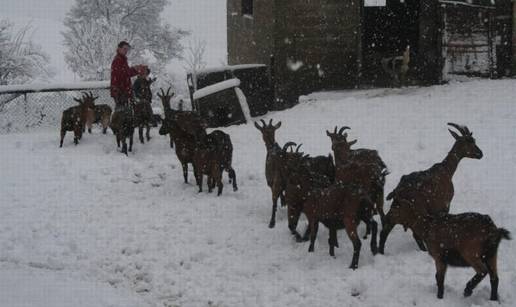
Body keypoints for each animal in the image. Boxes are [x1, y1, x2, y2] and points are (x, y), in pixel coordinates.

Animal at [378, 123, 484, 255]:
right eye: (469, 141)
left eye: (474, 140)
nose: (480, 154)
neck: (446, 170)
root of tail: (398, 191)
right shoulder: (444, 205)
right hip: (416, 210)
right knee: (416, 233)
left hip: (396, 210)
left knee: (385, 229)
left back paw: (380, 252)